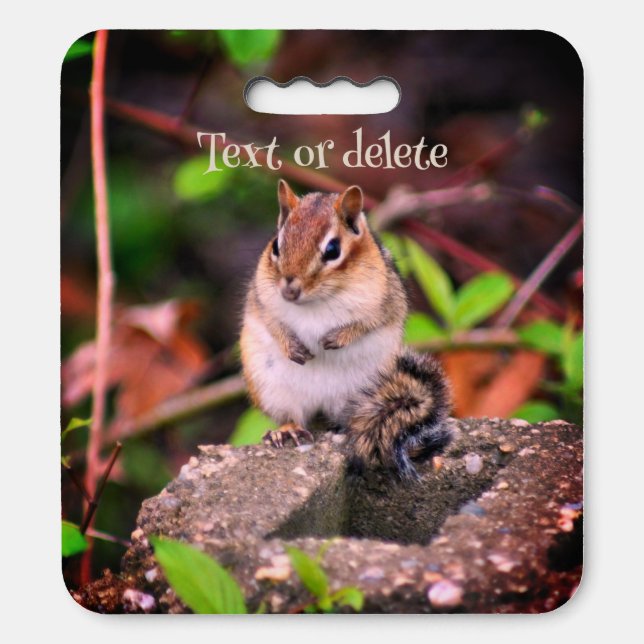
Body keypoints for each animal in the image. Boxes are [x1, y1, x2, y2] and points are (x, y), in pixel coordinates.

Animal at [240, 179, 452, 480]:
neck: (316, 301)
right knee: (292, 415)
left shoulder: (386, 301)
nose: (289, 290)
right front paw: (291, 346)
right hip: (271, 388)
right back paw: (287, 431)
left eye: (332, 250)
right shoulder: (260, 298)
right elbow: (272, 322)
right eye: (276, 246)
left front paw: (338, 338)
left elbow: (369, 322)